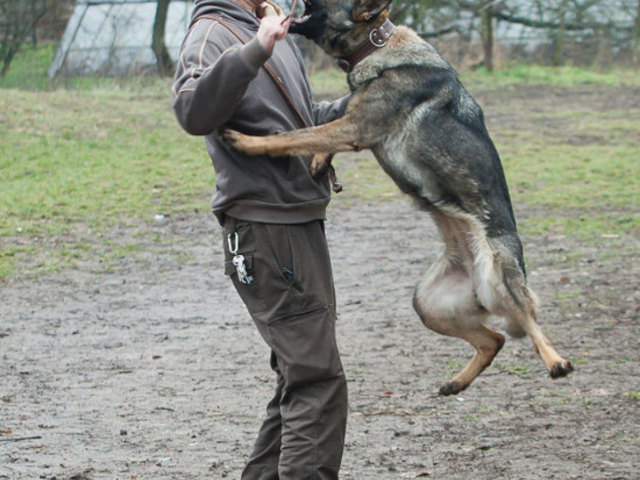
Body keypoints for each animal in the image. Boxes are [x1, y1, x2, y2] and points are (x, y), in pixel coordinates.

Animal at [221, 0, 576, 394]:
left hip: (500, 276)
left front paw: (247, 142)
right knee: (494, 340)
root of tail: (476, 276)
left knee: (530, 324)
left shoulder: (355, 127)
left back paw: (556, 361)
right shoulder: (354, 124)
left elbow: (293, 136)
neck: (375, 46)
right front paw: (318, 161)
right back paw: (457, 382)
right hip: (427, 305)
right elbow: (317, 131)